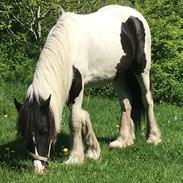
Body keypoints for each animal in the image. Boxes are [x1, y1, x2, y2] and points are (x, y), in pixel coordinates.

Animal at [13, 5, 160, 174]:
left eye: (43, 130)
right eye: (23, 133)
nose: (38, 168)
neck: (68, 45)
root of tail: (135, 15)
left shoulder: (77, 86)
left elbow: (74, 121)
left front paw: (75, 158)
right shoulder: (69, 90)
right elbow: (82, 115)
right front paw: (92, 150)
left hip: (142, 69)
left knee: (147, 100)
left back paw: (153, 137)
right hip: (119, 75)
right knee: (126, 104)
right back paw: (123, 141)